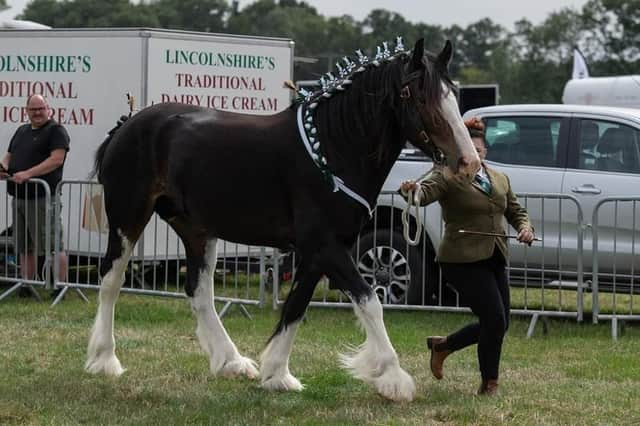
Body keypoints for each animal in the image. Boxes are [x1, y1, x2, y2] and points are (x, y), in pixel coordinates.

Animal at [86, 38, 480, 402]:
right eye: (419, 95)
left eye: (453, 95)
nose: (469, 162)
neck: (331, 149)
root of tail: (128, 124)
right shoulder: (325, 246)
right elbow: (370, 301)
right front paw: (393, 378)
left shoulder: (319, 251)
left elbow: (295, 307)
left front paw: (276, 373)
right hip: (128, 216)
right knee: (111, 279)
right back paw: (104, 360)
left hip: (195, 228)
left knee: (198, 290)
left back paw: (231, 362)